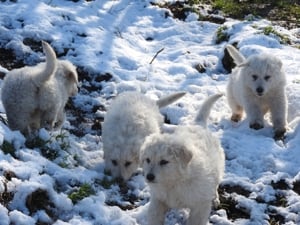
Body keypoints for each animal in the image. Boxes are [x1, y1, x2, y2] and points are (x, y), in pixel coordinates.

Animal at [141, 93, 225, 225]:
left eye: (164, 162)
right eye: (148, 160)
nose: (149, 177)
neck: (174, 182)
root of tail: (198, 124)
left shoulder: (200, 206)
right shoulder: (158, 199)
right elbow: (155, 216)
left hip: (218, 166)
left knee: (215, 184)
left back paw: (215, 198)